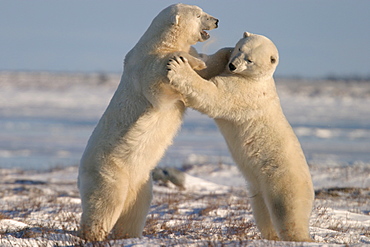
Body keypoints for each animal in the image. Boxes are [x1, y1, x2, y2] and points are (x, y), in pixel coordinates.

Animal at [76, 2, 227, 240]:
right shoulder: (146, 65)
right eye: (198, 14)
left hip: (141, 182)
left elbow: (204, 70)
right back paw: (93, 235)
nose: (216, 20)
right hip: (109, 172)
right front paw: (190, 61)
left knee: (135, 210)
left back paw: (129, 235)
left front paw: (222, 55)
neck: (160, 41)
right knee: (105, 204)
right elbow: (160, 84)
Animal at [168, 31, 316, 242]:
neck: (255, 79)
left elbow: (214, 94)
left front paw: (177, 67)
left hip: (284, 182)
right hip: (258, 190)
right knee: (263, 215)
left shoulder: (243, 90)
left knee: (288, 214)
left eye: (250, 60)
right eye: (240, 49)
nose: (233, 65)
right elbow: (209, 65)